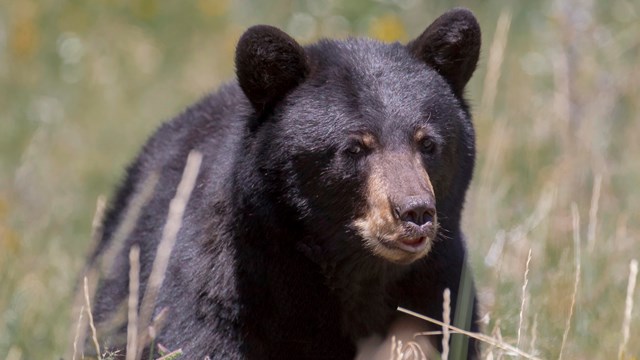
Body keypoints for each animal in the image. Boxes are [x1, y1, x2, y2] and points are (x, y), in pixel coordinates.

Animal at [89, 6, 480, 360]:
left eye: (427, 143)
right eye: (354, 147)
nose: (415, 211)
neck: (356, 274)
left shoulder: (439, 285)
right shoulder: (225, 292)